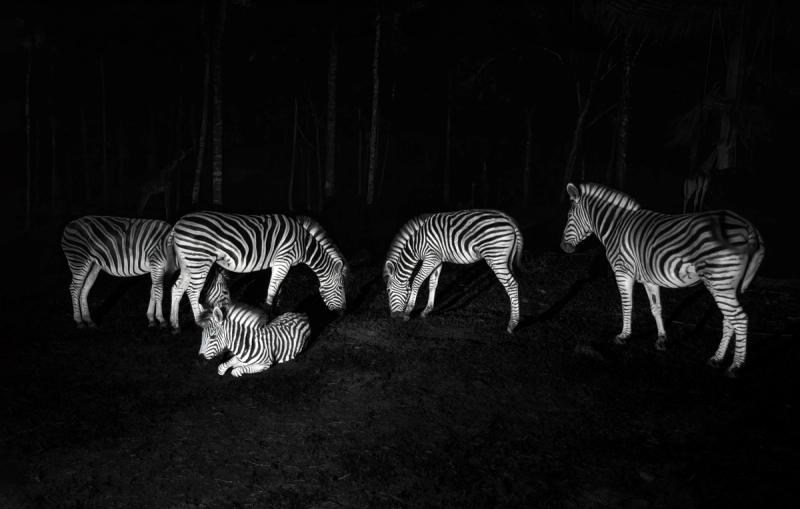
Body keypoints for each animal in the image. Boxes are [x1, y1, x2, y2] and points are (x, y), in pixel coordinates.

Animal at [170, 211, 347, 331]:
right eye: (340, 287)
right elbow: (272, 289)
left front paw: (276, 311)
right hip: (199, 260)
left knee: (177, 288)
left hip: (187, 263)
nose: (343, 314)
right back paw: (200, 322)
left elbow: (278, 289)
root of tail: (177, 224)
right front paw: (268, 316)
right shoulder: (283, 259)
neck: (303, 243)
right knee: (193, 290)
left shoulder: (282, 263)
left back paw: (175, 325)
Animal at [383, 209, 524, 333]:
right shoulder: (437, 260)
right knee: (514, 283)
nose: (393, 316)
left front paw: (408, 312)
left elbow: (417, 281)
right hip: (504, 258)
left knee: (511, 284)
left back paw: (512, 324)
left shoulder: (430, 257)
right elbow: (432, 283)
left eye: (388, 290)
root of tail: (508, 219)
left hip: (495, 256)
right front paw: (426, 310)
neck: (417, 244)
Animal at [560, 182, 765, 377]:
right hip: (731, 285)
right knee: (729, 320)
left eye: (569, 216)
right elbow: (656, 308)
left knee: (740, 318)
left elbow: (627, 305)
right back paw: (717, 359)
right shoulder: (650, 278)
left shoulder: (622, 271)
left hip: (719, 281)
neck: (616, 227)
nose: (563, 247)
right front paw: (661, 339)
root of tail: (748, 226)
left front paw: (624, 336)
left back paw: (735, 366)